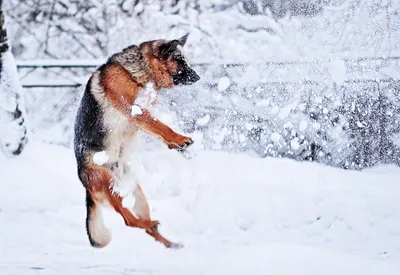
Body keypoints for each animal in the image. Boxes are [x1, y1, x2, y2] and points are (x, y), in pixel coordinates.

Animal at [73, 34, 200, 250]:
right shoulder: (135, 112)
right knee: (128, 220)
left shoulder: (141, 117)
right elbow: (161, 126)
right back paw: (150, 225)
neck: (140, 72)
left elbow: (158, 130)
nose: (198, 77)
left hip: (137, 194)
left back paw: (170, 243)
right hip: (109, 184)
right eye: (179, 60)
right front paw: (180, 139)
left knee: (143, 224)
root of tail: (84, 185)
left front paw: (177, 146)